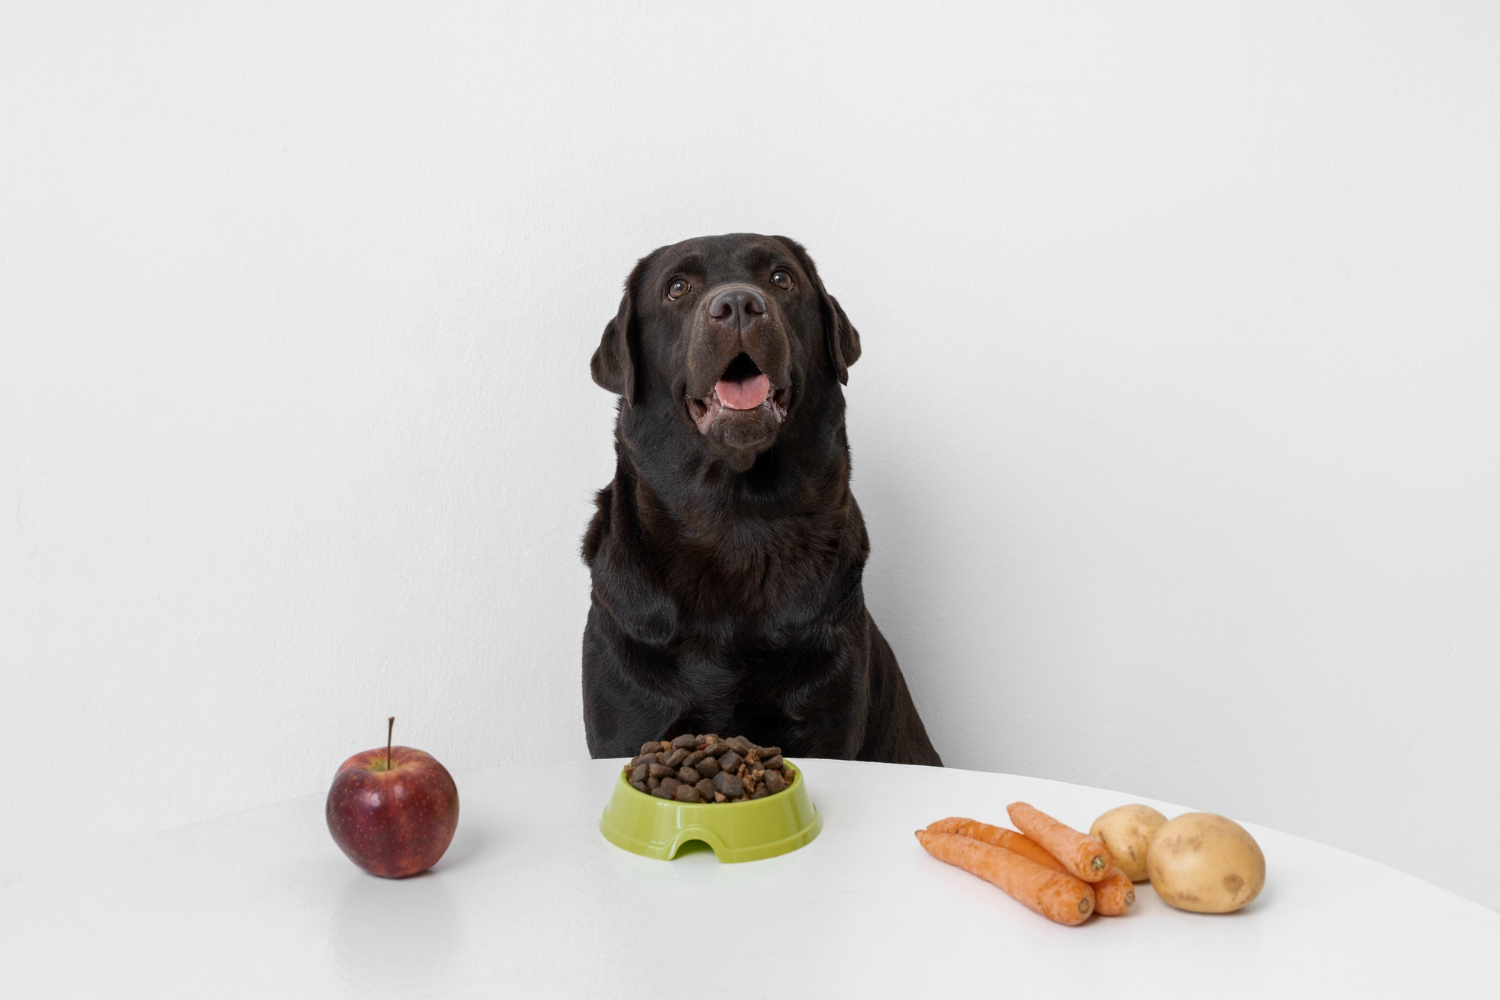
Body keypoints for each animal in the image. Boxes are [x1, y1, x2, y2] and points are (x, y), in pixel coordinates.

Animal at [582, 236, 936, 767]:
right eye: (677, 288)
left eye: (781, 278)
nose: (737, 305)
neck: (736, 521)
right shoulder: (627, 718)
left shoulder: (825, 718)